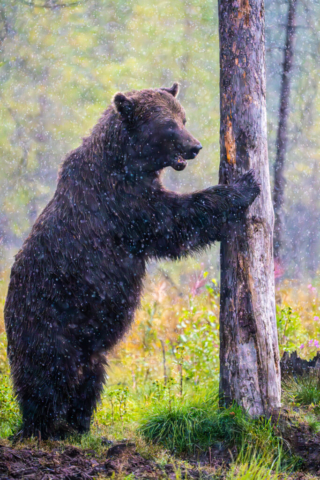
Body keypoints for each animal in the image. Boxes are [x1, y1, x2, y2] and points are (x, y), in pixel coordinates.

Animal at [4, 83, 260, 438]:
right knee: (50, 374)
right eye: (168, 124)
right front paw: (243, 186)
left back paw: (78, 423)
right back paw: (44, 425)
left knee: (90, 376)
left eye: (183, 118)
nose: (195, 146)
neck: (127, 161)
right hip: (49, 321)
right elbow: (172, 220)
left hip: (86, 344)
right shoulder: (123, 202)